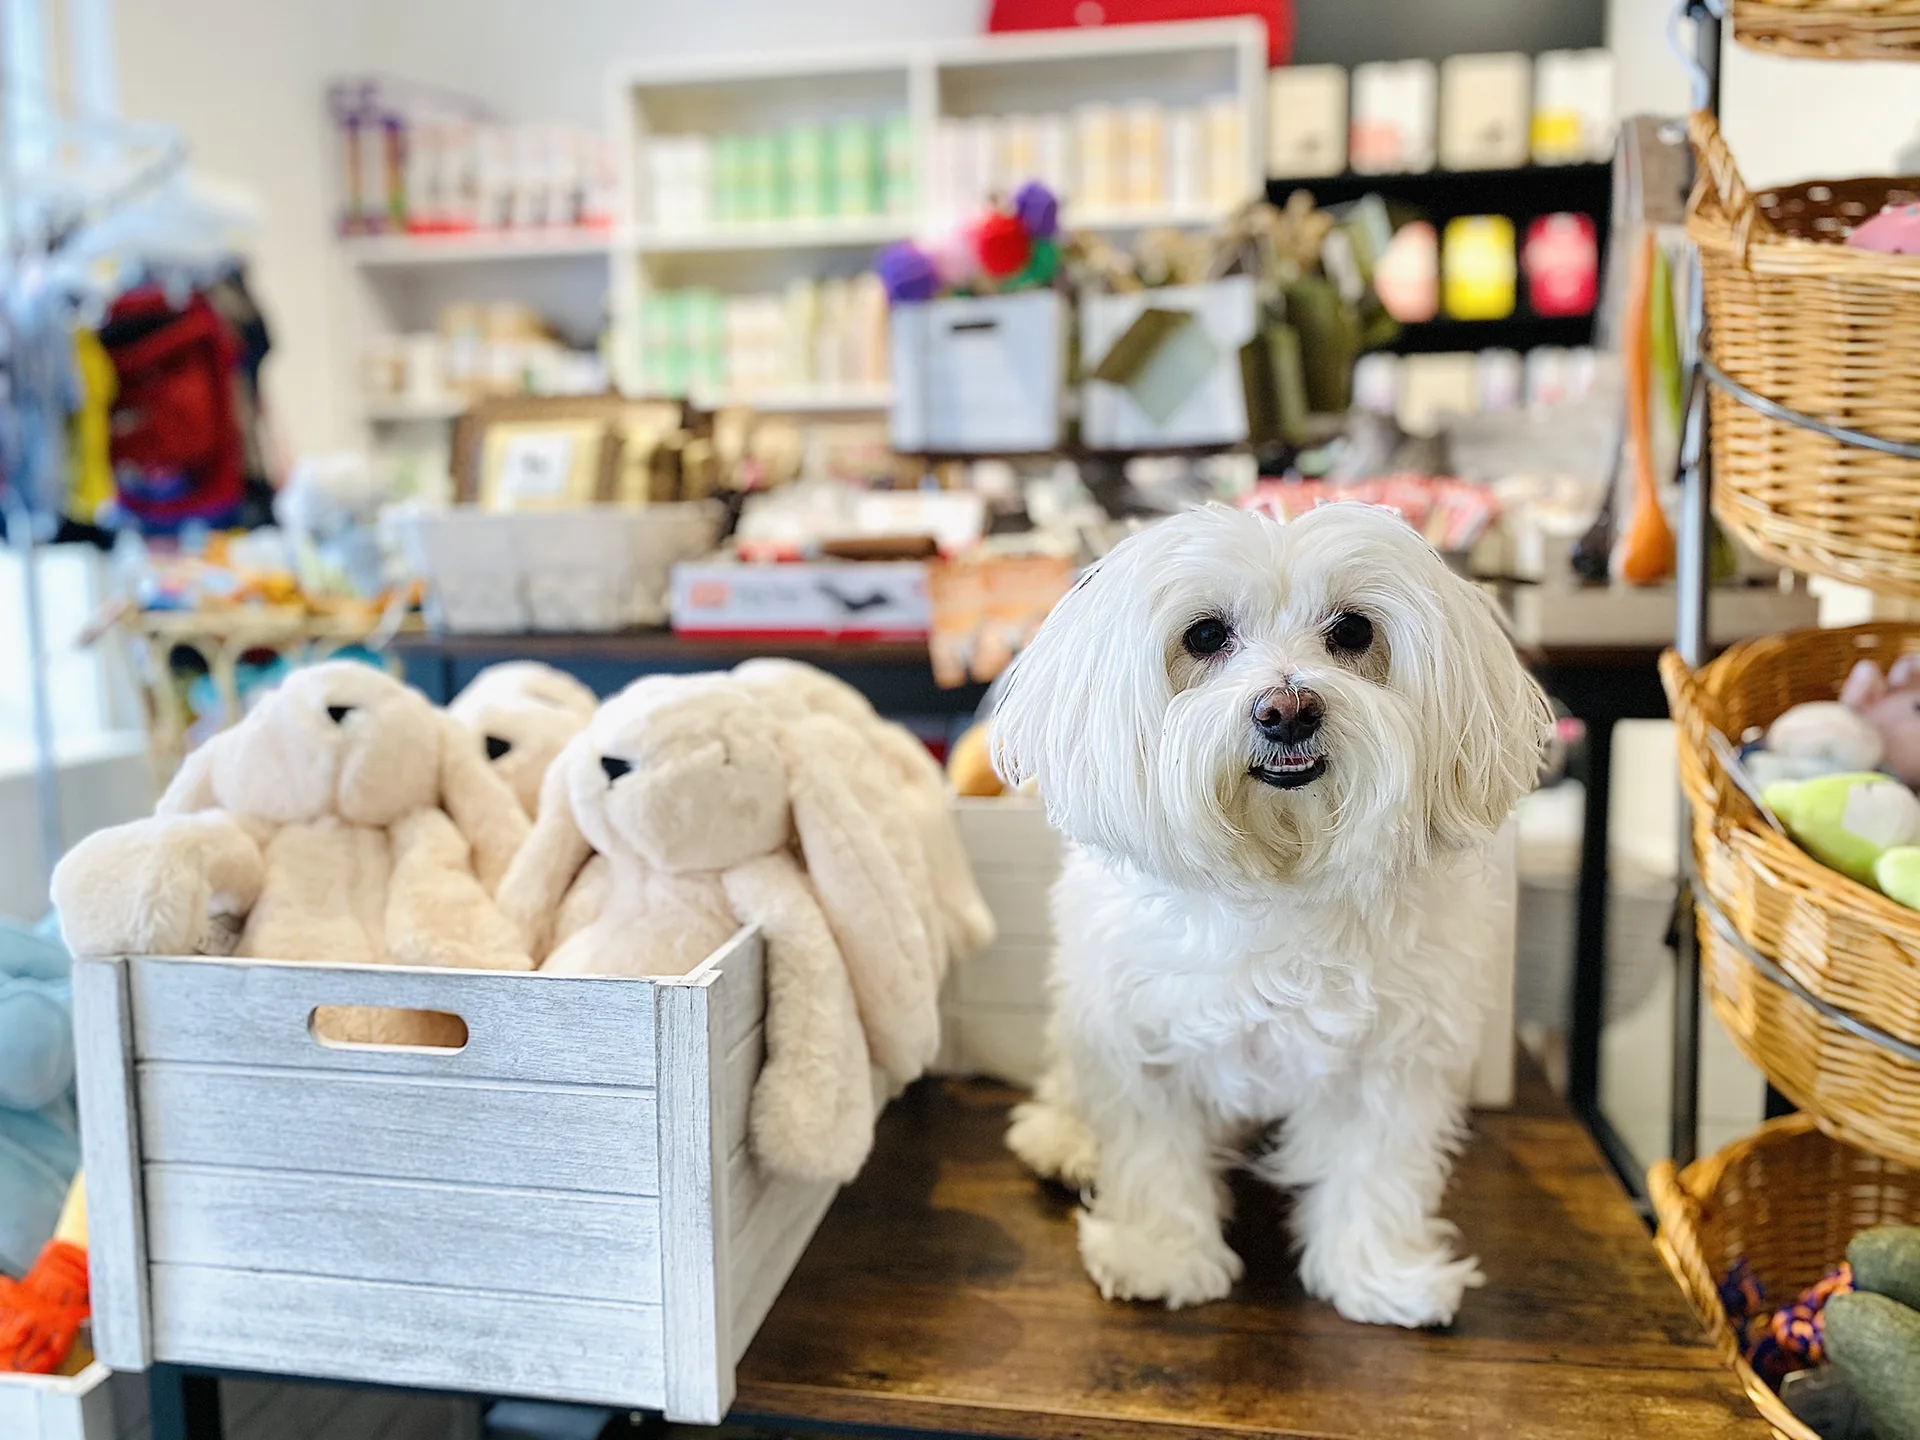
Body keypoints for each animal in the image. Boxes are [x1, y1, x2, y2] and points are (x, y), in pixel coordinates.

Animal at [998, 503, 1551, 1328]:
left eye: (1352, 631)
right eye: (1204, 635)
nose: (1288, 709)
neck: (1281, 869)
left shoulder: (1394, 1055)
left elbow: (1376, 1168)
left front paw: (1379, 1274)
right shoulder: (1142, 1042)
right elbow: (1153, 1154)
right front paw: (1160, 1256)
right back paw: (1065, 1139)